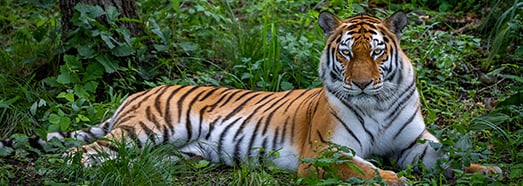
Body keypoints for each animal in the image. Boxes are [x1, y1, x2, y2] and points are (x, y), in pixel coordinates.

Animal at [2, 10, 506, 184]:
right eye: (347, 52)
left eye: (377, 52)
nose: (362, 83)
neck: (377, 104)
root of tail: (138, 92)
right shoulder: (325, 154)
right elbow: (367, 170)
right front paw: (397, 181)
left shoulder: (413, 144)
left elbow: (453, 157)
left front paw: (491, 170)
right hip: (144, 129)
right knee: (83, 153)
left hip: (168, 149)